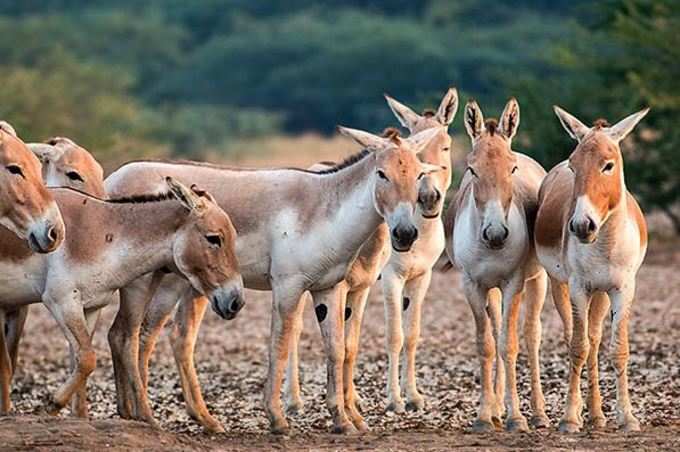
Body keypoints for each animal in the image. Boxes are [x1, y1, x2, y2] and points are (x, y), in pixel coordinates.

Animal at [444, 99, 548, 430]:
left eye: (511, 169)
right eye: (471, 169)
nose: (496, 234)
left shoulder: (514, 282)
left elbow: (509, 345)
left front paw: (517, 418)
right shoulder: (472, 285)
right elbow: (487, 344)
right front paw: (483, 416)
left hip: (538, 281)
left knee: (531, 335)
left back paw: (539, 414)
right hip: (491, 290)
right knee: (497, 327)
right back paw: (495, 408)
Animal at [540, 106, 652, 434]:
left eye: (608, 166)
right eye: (574, 166)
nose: (581, 226)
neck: (606, 243)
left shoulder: (623, 289)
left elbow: (619, 349)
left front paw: (627, 418)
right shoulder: (579, 287)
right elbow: (578, 347)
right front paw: (568, 418)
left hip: (601, 293)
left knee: (595, 339)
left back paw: (597, 414)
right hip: (560, 285)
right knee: (578, 339)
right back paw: (584, 412)